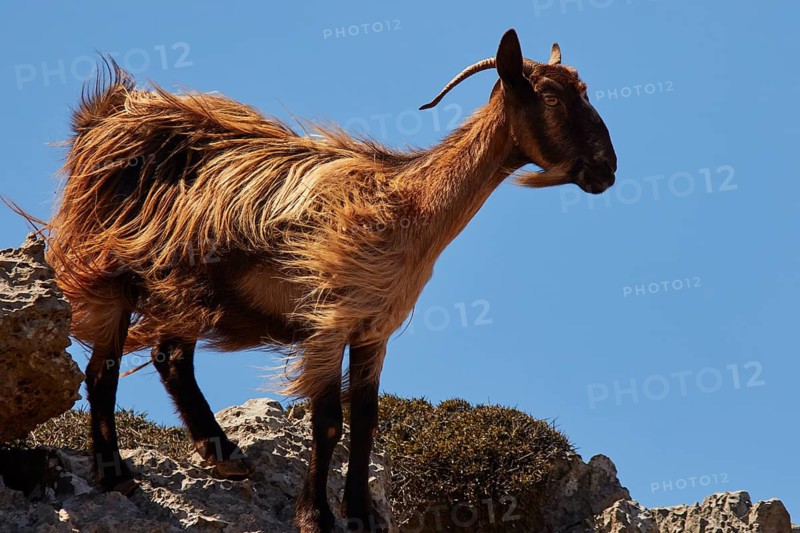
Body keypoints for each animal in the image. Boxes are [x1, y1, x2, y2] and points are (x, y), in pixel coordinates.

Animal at [37, 29, 616, 532]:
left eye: (583, 91)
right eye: (551, 97)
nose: (606, 170)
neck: (411, 205)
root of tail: (104, 118)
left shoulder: (374, 329)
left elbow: (365, 421)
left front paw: (361, 515)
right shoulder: (329, 319)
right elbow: (329, 421)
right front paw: (316, 517)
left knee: (164, 357)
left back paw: (221, 457)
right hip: (116, 265)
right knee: (109, 367)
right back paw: (116, 474)